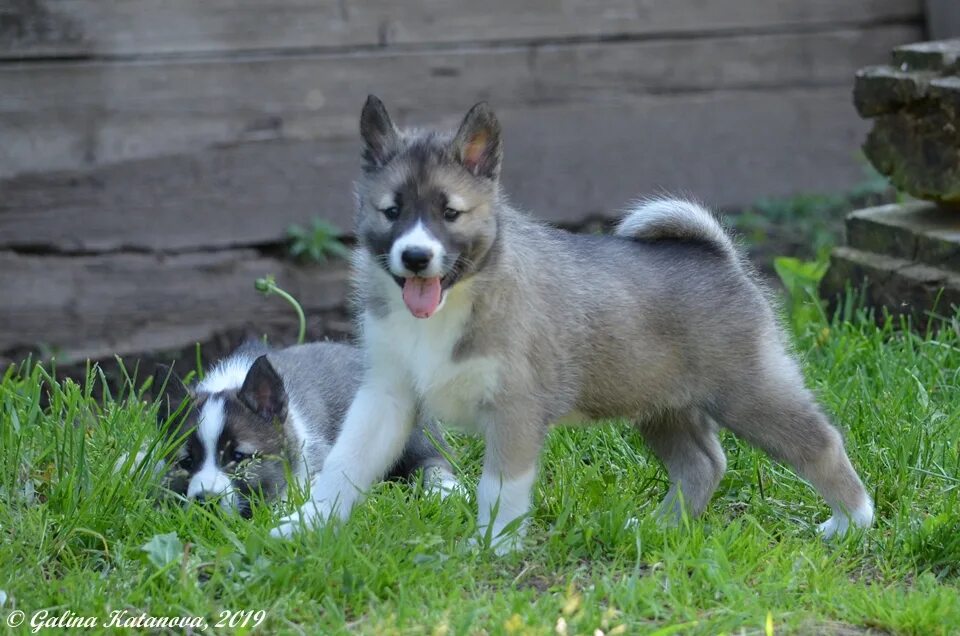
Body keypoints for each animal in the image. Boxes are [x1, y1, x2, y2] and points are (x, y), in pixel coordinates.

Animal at [153, 342, 458, 516]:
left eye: (238, 457)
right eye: (186, 462)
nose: (204, 501)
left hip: (413, 432)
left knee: (435, 460)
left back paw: (446, 491)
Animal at [270, 95, 872, 552]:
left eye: (450, 213)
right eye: (392, 211)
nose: (416, 257)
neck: (454, 302)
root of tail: (721, 257)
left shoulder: (515, 409)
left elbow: (499, 490)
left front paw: (492, 549)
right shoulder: (386, 397)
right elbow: (343, 468)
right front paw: (302, 528)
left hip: (749, 392)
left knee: (821, 443)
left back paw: (852, 523)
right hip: (662, 405)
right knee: (703, 464)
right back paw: (660, 528)